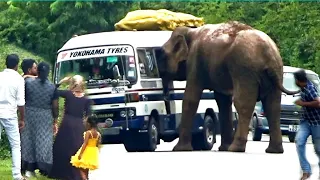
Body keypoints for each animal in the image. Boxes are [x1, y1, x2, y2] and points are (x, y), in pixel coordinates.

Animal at [158, 21, 300, 153]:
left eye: (161, 54)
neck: (191, 31)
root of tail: (269, 55)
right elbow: (223, 101)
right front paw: (223, 148)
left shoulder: (195, 62)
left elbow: (191, 98)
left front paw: (179, 149)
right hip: (276, 72)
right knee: (273, 106)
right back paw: (273, 150)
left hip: (244, 70)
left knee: (243, 103)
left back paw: (235, 148)